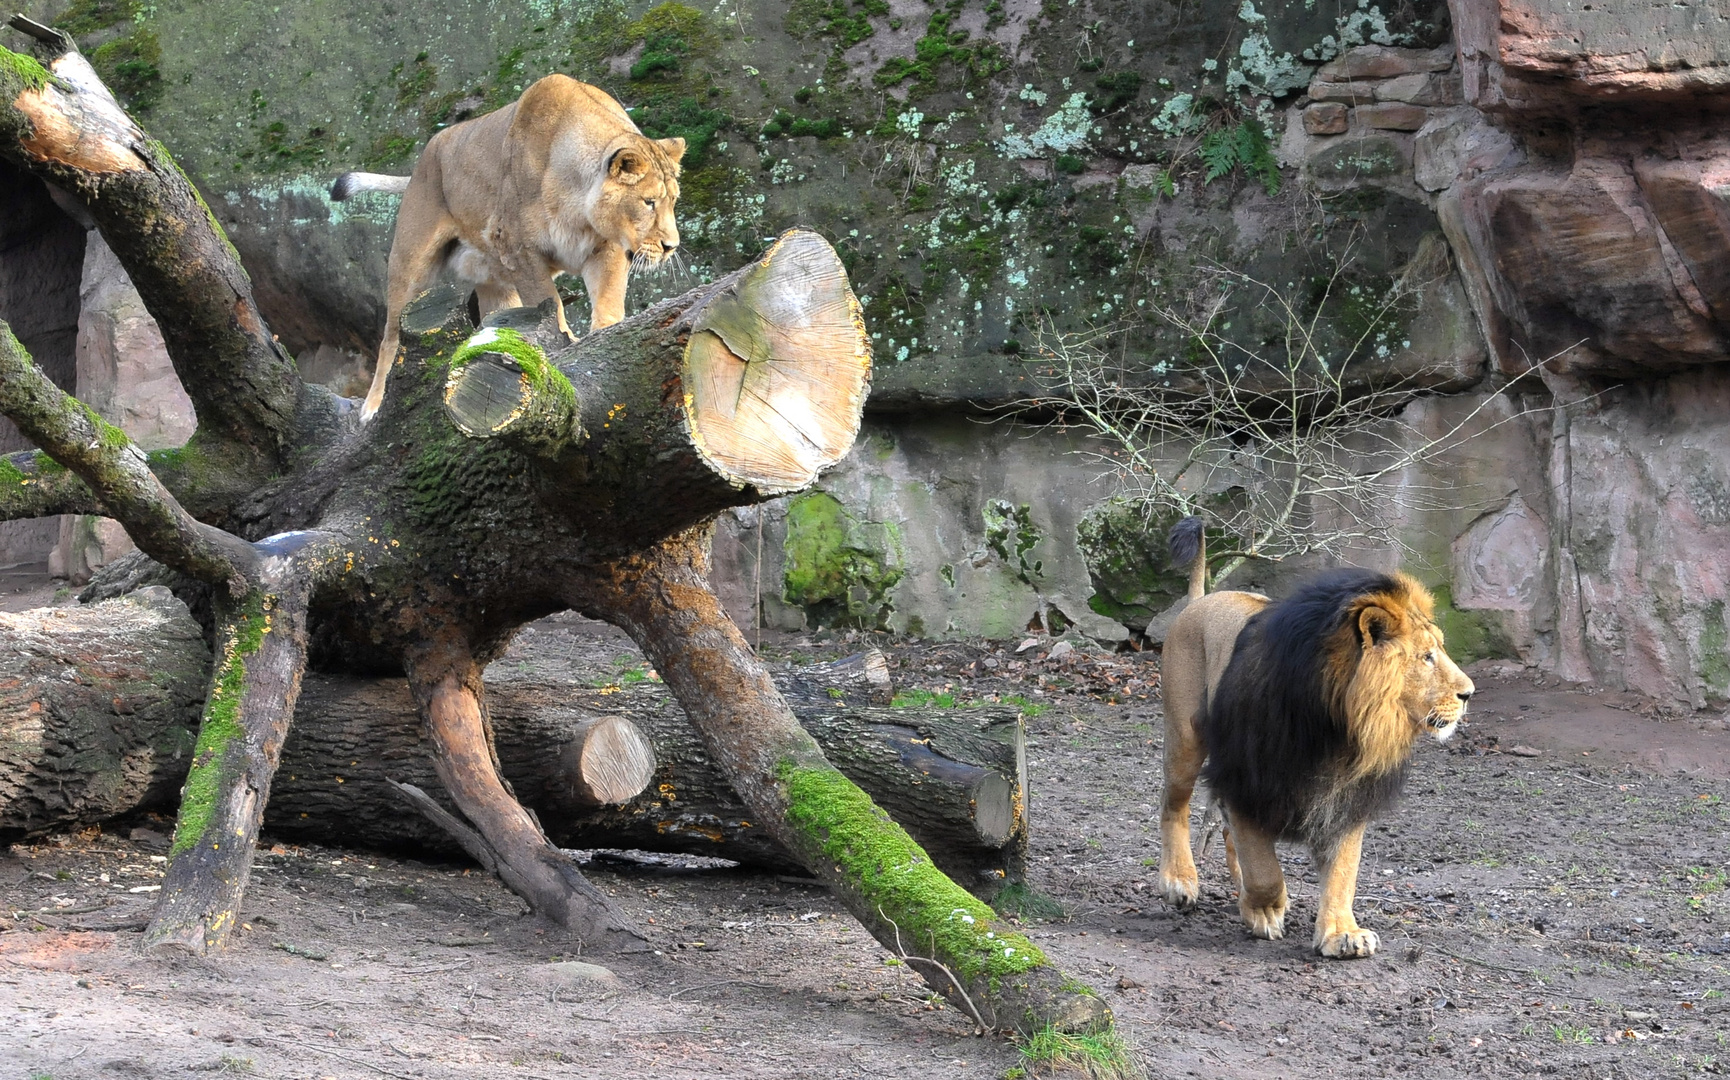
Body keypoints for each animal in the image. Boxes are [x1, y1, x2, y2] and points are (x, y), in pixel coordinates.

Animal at [333, 74, 685, 417]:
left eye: (673, 201)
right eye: (649, 202)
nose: (671, 246)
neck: (578, 201)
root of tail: (424, 157)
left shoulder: (607, 246)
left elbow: (608, 297)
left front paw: (605, 335)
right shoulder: (518, 248)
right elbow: (548, 301)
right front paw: (563, 341)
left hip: (495, 282)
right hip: (411, 262)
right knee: (391, 337)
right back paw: (372, 407)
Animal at [1162, 526, 1473, 955]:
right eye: (1426, 656)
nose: (1469, 693)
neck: (1338, 728)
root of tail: (1201, 600)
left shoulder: (1346, 796)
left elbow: (1342, 871)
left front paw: (1342, 933)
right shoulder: (1247, 778)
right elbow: (1264, 869)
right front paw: (1266, 911)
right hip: (1186, 739)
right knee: (1173, 805)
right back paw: (1179, 881)